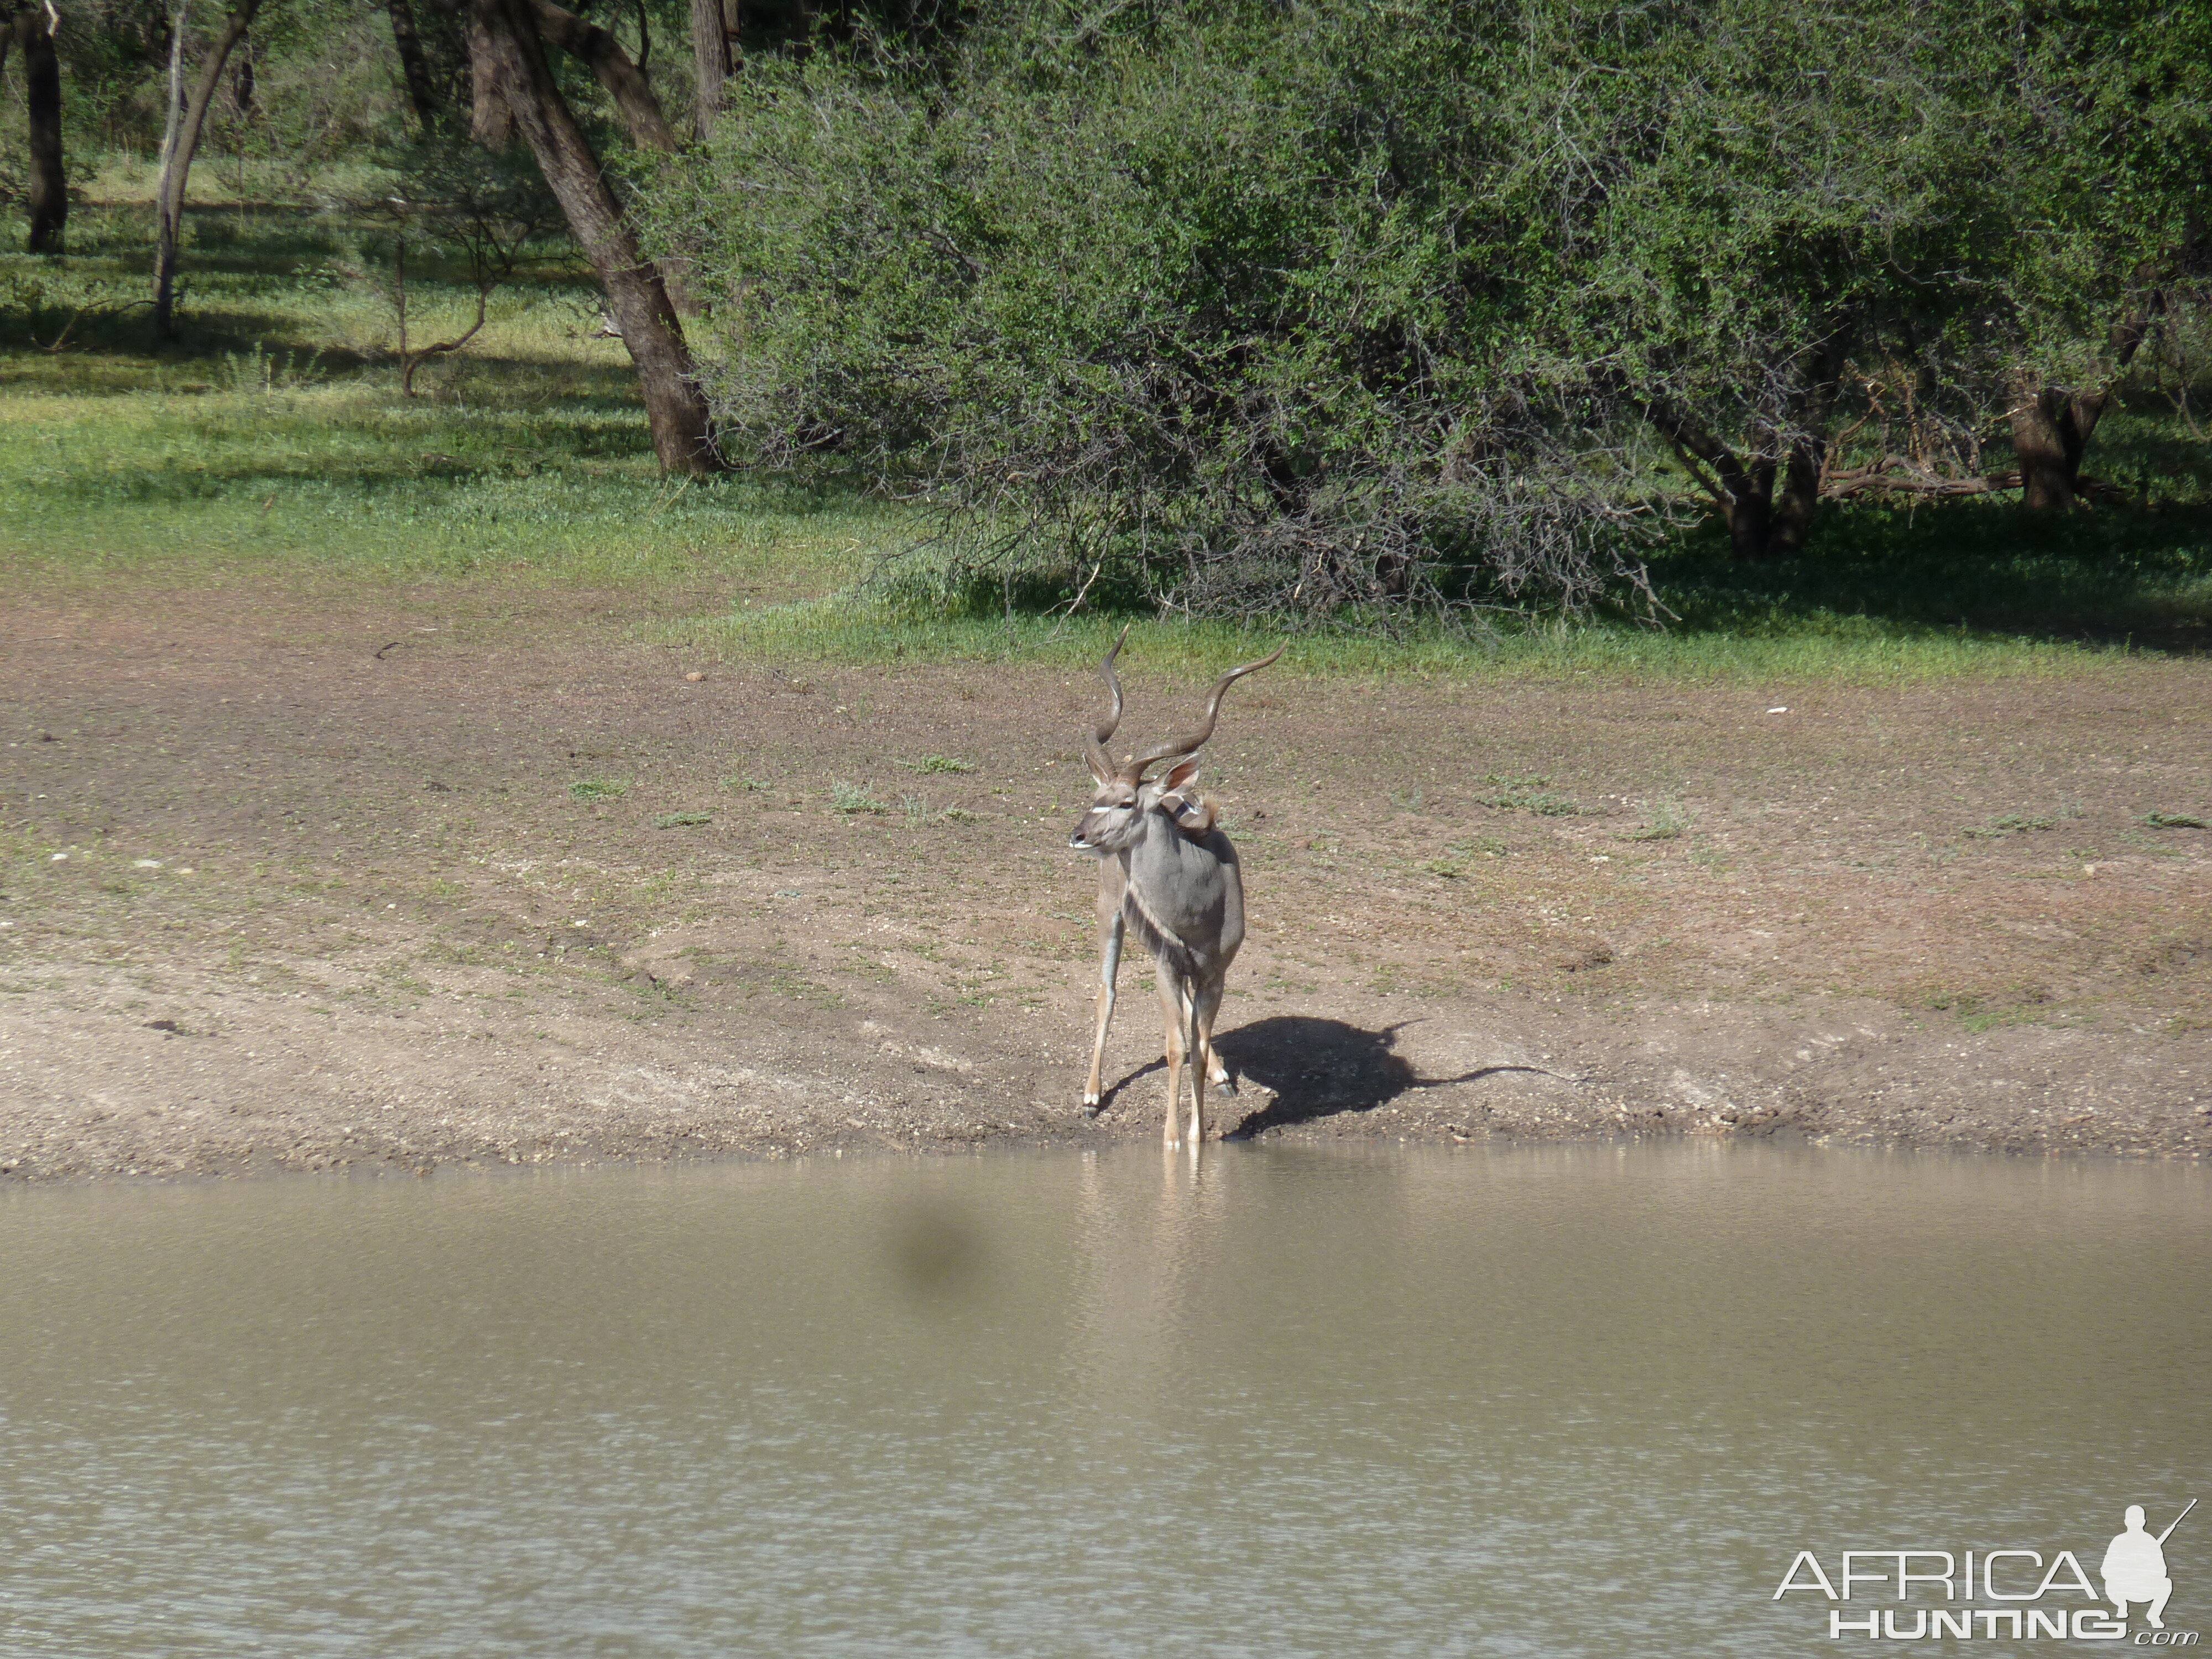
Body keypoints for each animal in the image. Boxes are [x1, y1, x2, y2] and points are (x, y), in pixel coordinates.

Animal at [1066, 628, 1292, 1150]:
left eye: (1126, 802)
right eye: (1096, 796)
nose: (1080, 835)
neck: (1197, 906)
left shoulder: (1215, 973)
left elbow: (1199, 1042)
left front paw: (1198, 1136)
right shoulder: (1165, 968)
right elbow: (1174, 1047)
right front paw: (1173, 1140)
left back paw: (1221, 1075)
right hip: (1110, 917)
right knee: (1107, 991)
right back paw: (1090, 1096)